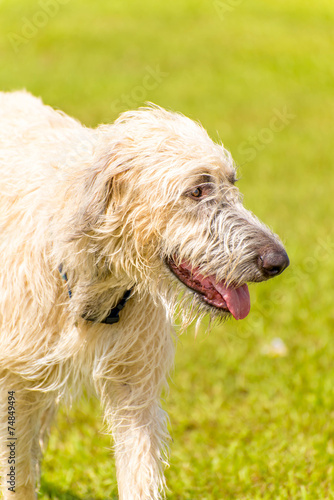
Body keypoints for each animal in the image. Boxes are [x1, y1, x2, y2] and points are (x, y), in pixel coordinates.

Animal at [0, 91, 288, 500]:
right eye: (197, 190)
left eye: (232, 183)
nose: (278, 260)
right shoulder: (16, 383)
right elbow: (18, 474)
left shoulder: (135, 388)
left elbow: (139, 468)